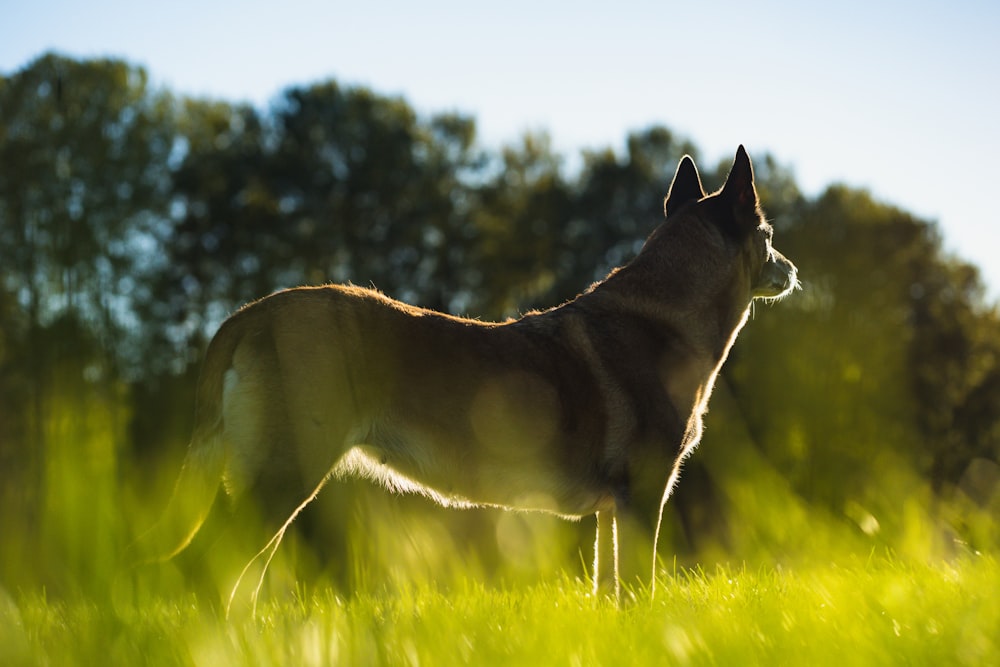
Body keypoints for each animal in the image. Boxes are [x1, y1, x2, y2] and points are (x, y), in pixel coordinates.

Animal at [137, 146, 800, 604]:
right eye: (767, 234)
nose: (793, 270)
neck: (666, 310)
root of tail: (248, 315)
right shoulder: (643, 496)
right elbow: (638, 590)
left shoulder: (611, 511)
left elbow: (606, 592)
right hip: (282, 477)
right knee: (205, 570)